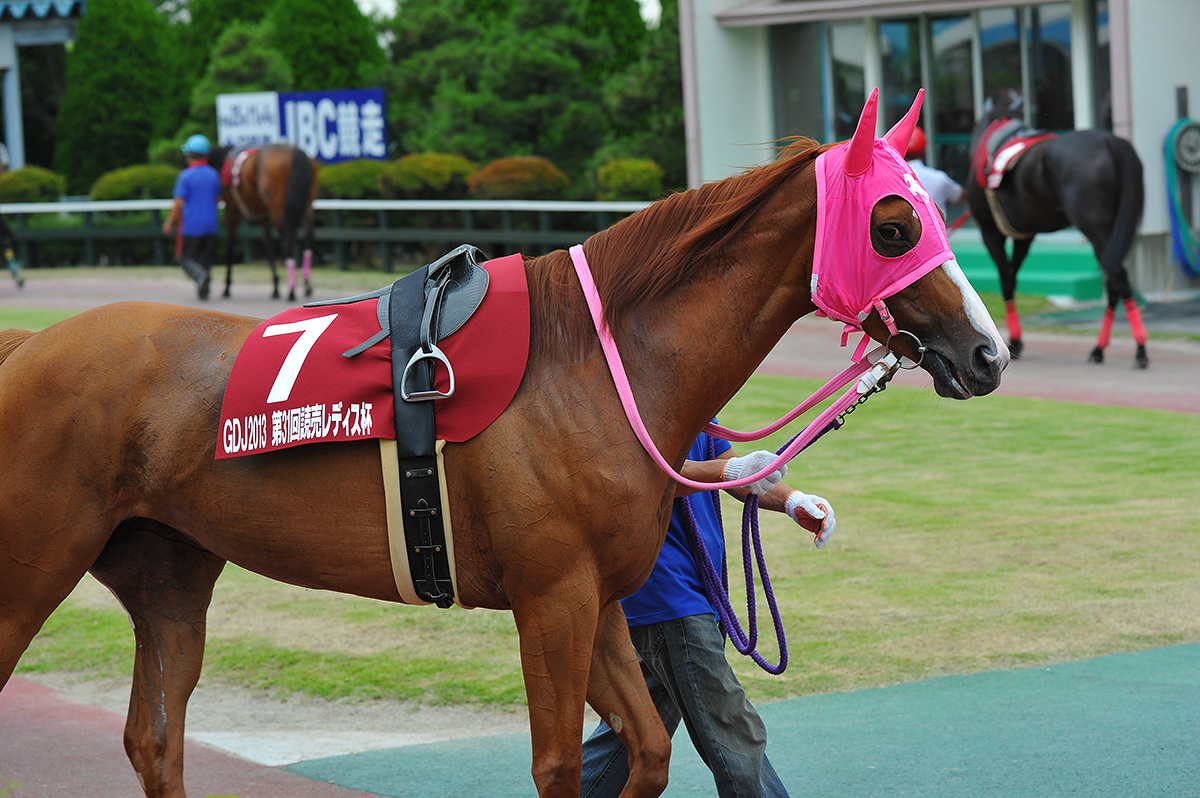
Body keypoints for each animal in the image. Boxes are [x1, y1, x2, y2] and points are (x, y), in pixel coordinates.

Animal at [208, 143, 319, 302]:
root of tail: (296, 153)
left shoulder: (233, 213)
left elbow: (230, 246)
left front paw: (227, 287)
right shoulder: (263, 217)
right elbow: (268, 247)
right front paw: (275, 287)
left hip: (279, 210)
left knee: (288, 242)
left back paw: (291, 290)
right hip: (306, 206)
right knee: (308, 239)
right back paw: (307, 285)